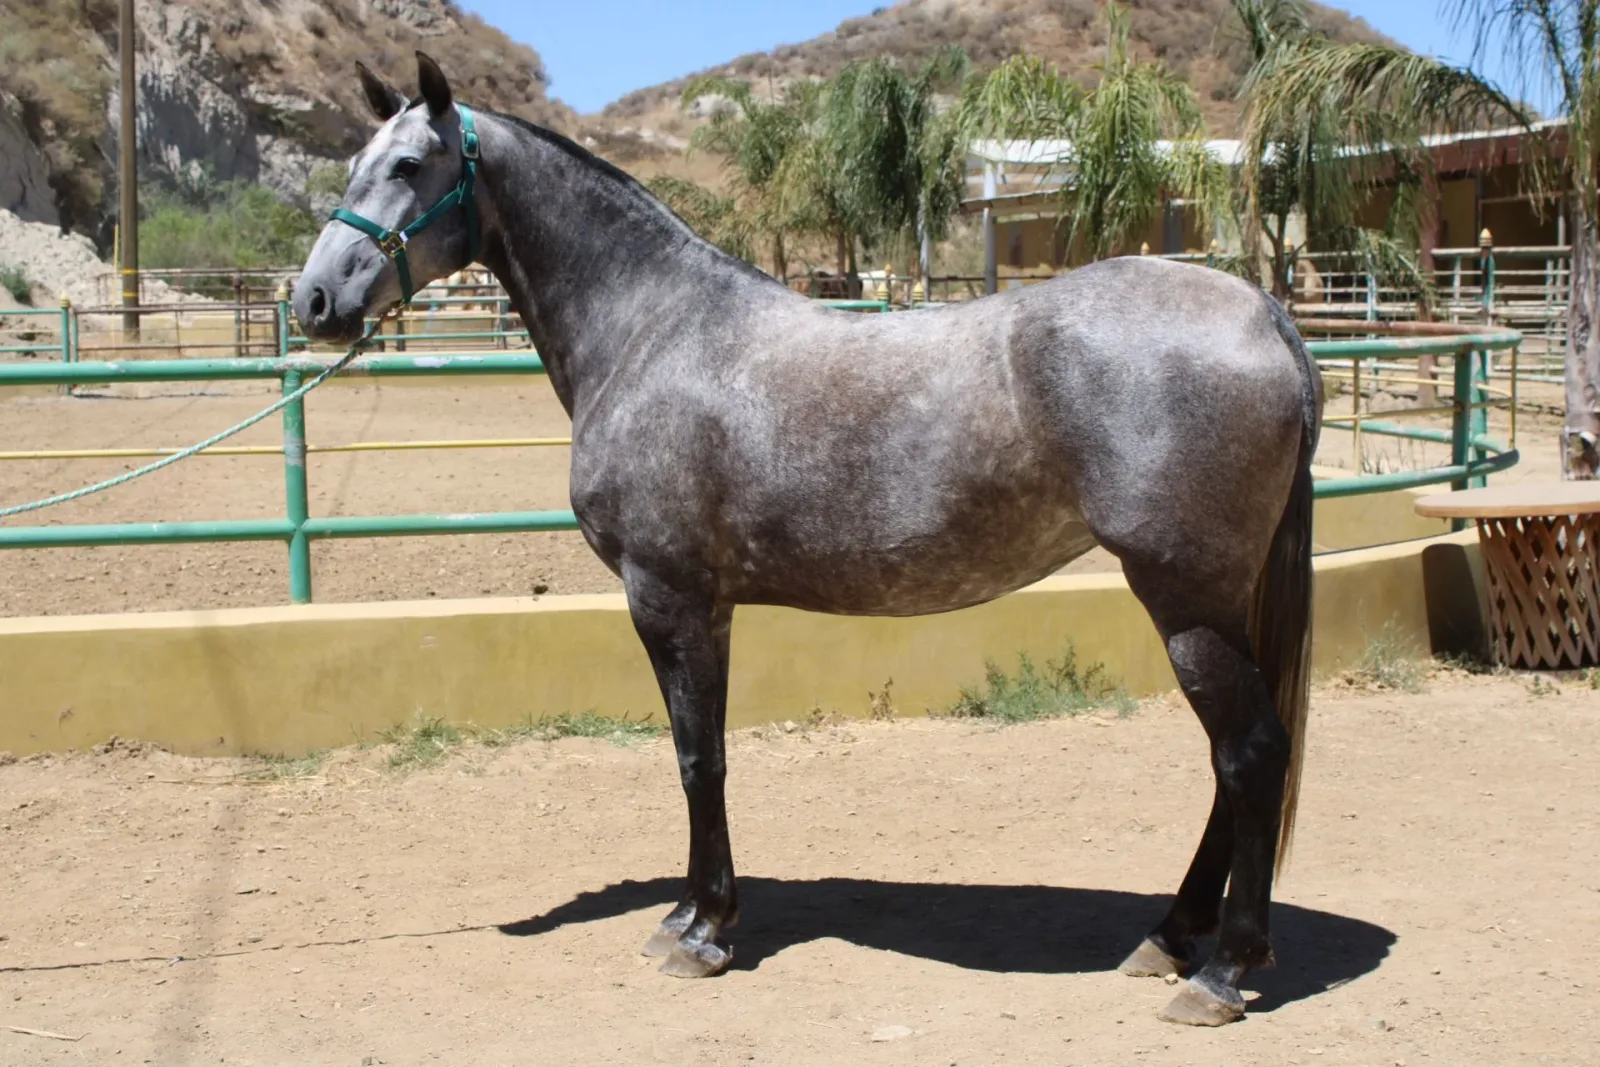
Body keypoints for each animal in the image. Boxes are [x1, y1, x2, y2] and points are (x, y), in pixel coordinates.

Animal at [293, 53, 1324, 1027]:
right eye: (353, 163)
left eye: (410, 165)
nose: (312, 302)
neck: (653, 330)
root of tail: (1263, 313)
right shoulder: (704, 605)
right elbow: (700, 751)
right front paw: (686, 913)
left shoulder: (666, 594)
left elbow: (696, 756)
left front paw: (705, 931)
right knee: (1232, 765)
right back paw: (1172, 938)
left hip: (1185, 601)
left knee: (1249, 755)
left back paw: (1221, 971)